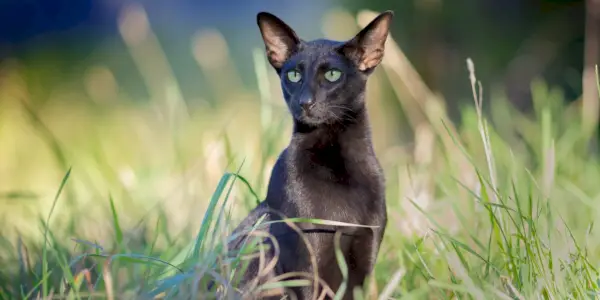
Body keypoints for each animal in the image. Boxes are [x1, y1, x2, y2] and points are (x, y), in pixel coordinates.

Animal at [227, 9, 392, 300]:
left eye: (333, 75)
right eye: (293, 75)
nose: (305, 102)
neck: (337, 165)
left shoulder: (364, 260)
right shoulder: (304, 265)